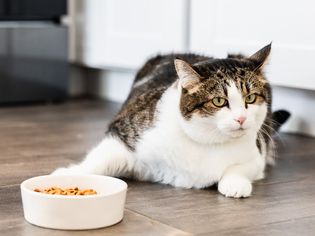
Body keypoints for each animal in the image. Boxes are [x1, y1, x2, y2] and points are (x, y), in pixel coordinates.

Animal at [52, 43, 292, 197]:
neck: (207, 142)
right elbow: (100, 159)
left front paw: (235, 184)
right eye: (218, 101)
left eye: (250, 98)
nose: (241, 118)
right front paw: (68, 175)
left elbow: (240, 168)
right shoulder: (124, 131)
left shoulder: (257, 154)